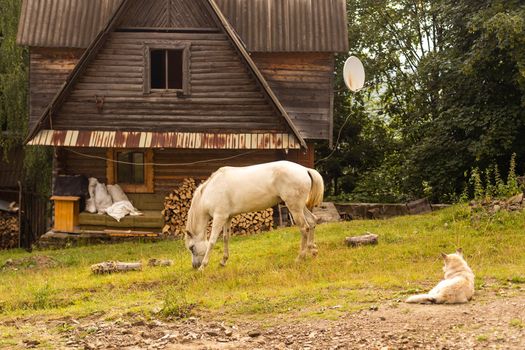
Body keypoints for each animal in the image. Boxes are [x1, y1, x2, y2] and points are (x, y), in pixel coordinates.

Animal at [184, 160, 324, 270]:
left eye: (191, 248)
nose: (194, 266)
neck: (210, 191)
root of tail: (304, 170)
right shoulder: (227, 217)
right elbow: (225, 238)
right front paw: (223, 261)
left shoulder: (219, 217)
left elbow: (212, 241)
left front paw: (203, 266)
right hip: (300, 207)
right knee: (312, 221)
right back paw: (313, 251)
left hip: (294, 208)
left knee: (304, 228)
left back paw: (300, 257)